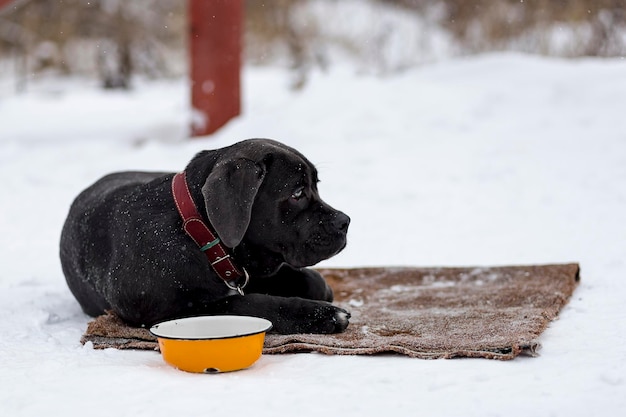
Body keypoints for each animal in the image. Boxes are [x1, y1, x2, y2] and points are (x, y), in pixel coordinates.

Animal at [60, 138, 348, 334]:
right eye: (297, 193)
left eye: (315, 186)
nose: (345, 222)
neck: (197, 234)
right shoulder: (177, 312)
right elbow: (251, 304)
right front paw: (322, 314)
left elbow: (311, 279)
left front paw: (319, 289)